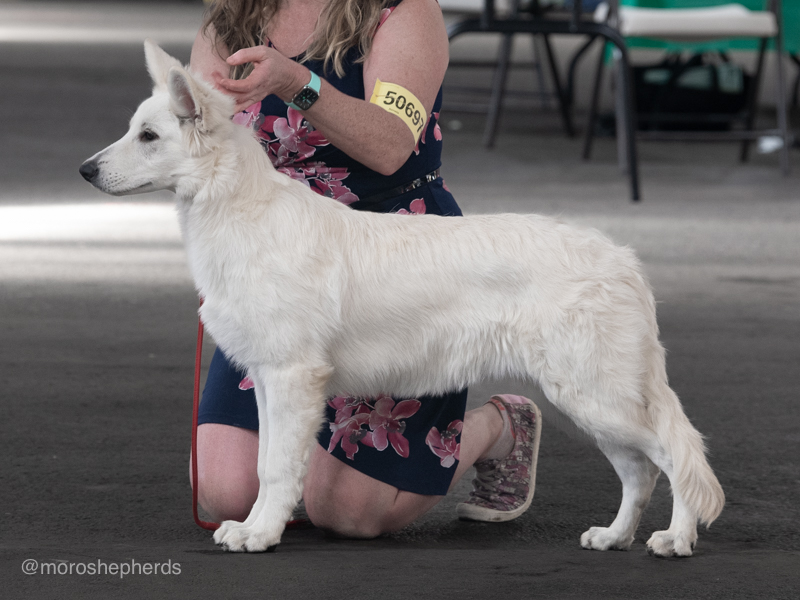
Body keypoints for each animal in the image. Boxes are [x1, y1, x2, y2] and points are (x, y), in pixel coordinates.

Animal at [79, 41, 724, 556]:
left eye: (149, 137)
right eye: (134, 129)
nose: (85, 170)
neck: (238, 208)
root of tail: (624, 261)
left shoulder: (292, 377)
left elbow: (279, 469)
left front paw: (260, 535)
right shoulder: (266, 379)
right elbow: (265, 466)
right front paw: (258, 526)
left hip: (595, 395)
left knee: (675, 454)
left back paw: (676, 539)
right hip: (589, 400)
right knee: (640, 471)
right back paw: (614, 536)